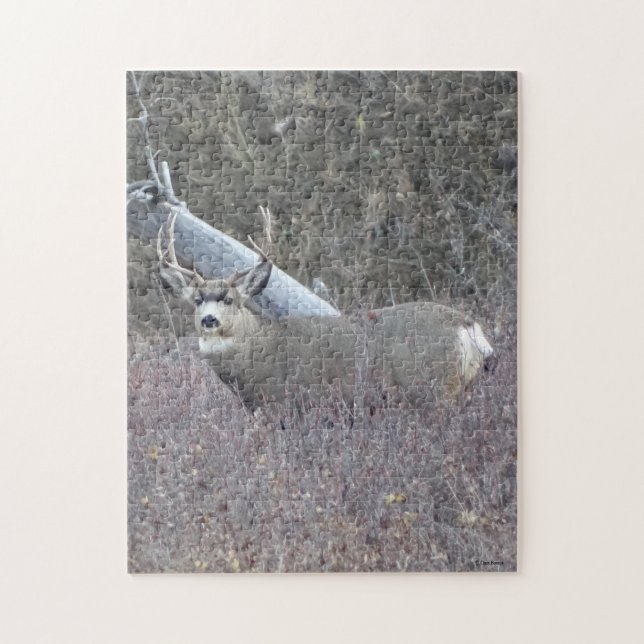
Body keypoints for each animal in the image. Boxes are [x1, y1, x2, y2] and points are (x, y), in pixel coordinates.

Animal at [157, 213, 494, 411]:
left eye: (229, 299)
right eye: (197, 300)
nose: (208, 319)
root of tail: (466, 326)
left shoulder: (289, 406)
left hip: (434, 390)